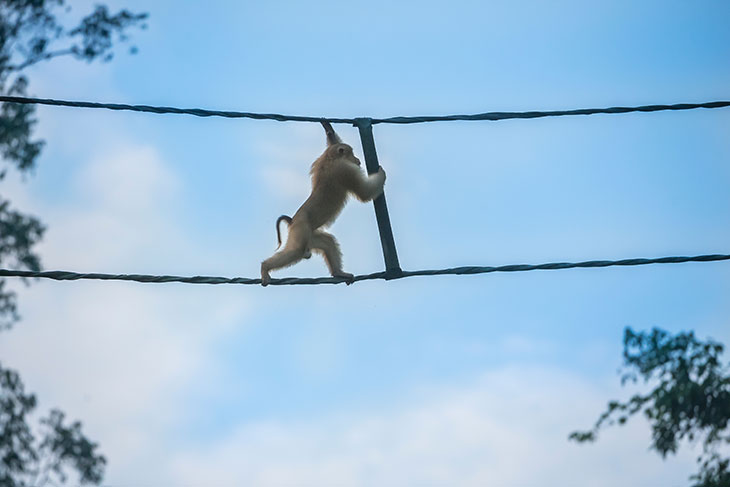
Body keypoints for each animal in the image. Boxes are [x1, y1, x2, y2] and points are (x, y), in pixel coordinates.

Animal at [262, 121, 386, 286]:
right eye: (351, 154)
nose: (358, 160)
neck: (330, 159)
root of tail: (292, 221)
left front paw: (329, 129)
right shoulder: (344, 170)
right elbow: (364, 193)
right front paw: (381, 174)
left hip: (311, 236)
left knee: (328, 242)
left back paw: (338, 272)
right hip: (300, 231)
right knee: (296, 251)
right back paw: (265, 267)